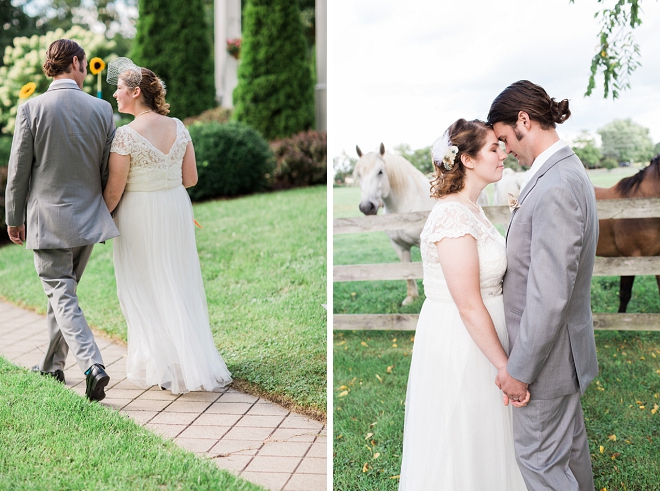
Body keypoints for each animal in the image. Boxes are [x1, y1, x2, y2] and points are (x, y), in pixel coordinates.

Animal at [354, 143, 436, 304]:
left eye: (380, 172)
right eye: (359, 174)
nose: (366, 207)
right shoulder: (399, 246)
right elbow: (407, 271)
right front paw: (411, 298)